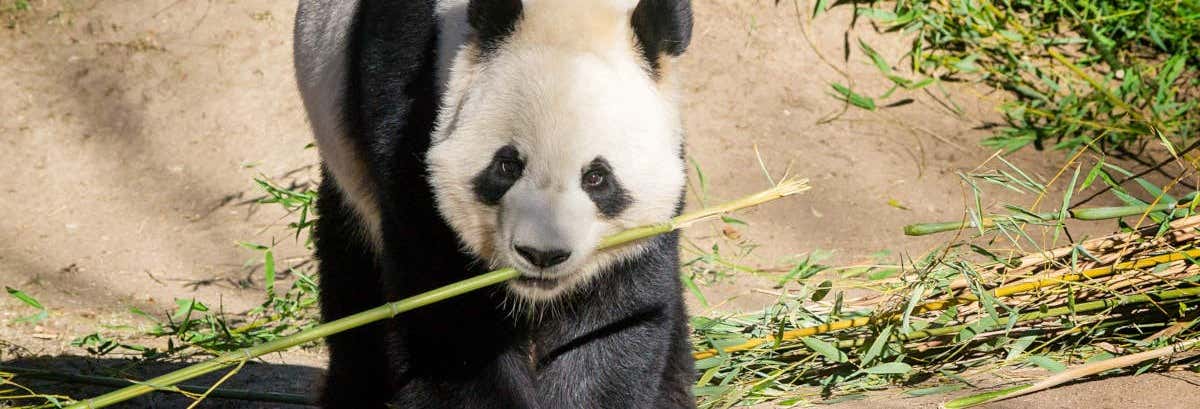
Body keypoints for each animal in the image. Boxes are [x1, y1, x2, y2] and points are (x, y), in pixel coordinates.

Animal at [293, 0, 694, 407]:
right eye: (507, 166)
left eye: (596, 177)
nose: (542, 255)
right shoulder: (408, 130)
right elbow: (449, 325)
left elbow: (613, 322)